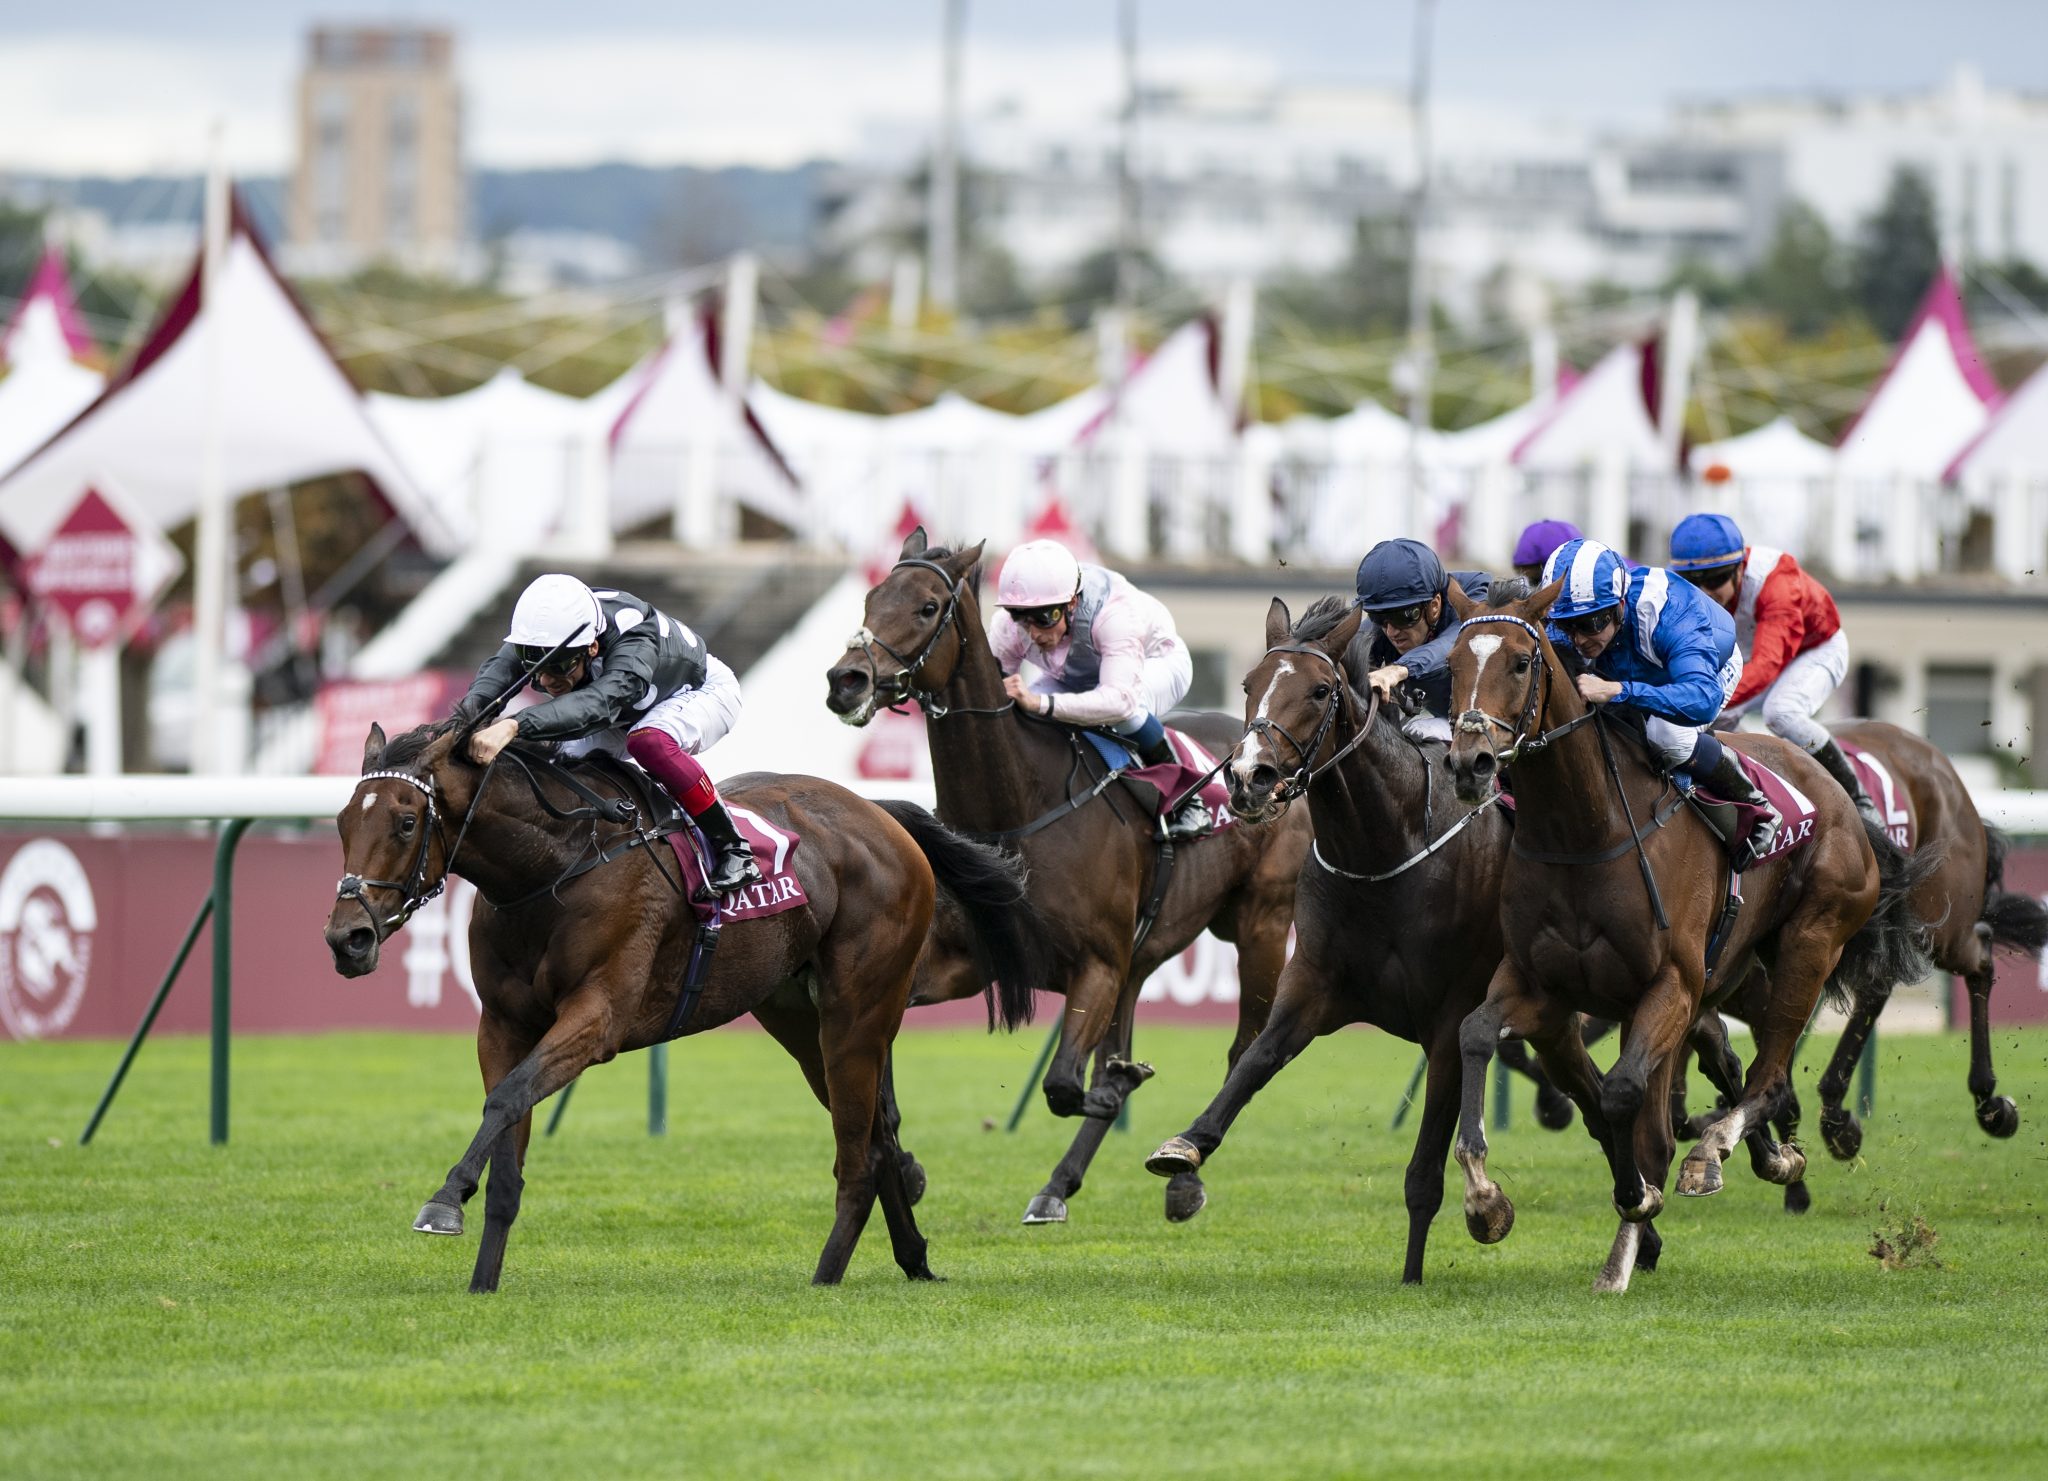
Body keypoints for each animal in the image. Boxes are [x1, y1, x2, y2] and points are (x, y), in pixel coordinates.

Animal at [329, 725, 1048, 1294]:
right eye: (342, 822)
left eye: (405, 821)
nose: (347, 938)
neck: (553, 866)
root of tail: (879, 813)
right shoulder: (503, 1025)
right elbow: (507, 1131)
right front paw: (483, 1279)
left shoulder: (598, 1017)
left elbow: (506, 1099)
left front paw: (443, 1200)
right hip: (798, 1017)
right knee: (881, 1135)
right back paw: (913, 1257)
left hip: (858, 1010)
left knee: (858, 1152)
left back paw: (827, 1275)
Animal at [819, 532, 1310, 1229]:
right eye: (870, 598)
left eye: (927, 607)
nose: (846, 680)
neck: (1019, 806)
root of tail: (1268, 759)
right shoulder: (974, 958)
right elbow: (882, 1046)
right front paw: (906, 1164)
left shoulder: (1096, 964)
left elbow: (1062, 1086)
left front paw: (1121, 1089)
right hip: (1140, 960)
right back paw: (1060, 1182)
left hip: (1260, 923)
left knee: (1242, 1049)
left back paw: (1182, 1173)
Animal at [1146, 598, 1515, 1286]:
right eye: (1248, 685)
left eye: (1320, 690)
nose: (1248, 777)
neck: (1386, 851)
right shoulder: (1313, 985)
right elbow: (1254, 1061)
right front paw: (1185, 1147)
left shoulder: (1449, 1016)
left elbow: (1426, 1168)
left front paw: (1419, 1268)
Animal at [1433, 585, 1925, 1294]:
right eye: (1451, 665)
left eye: (1523, 662)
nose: (1469, 764)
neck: (1583, 832)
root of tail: (1840, 796)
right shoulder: (1538, 985)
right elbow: (1475, 1035)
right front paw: (1484, 1200)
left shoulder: (1667, 985)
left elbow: (1625, 1101)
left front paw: (1638, 1200)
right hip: (1733, 971)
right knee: (1734, 1063)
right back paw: (1761, 1157)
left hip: (1809, 942)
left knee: (1767, 1073)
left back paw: (1717, 1153)